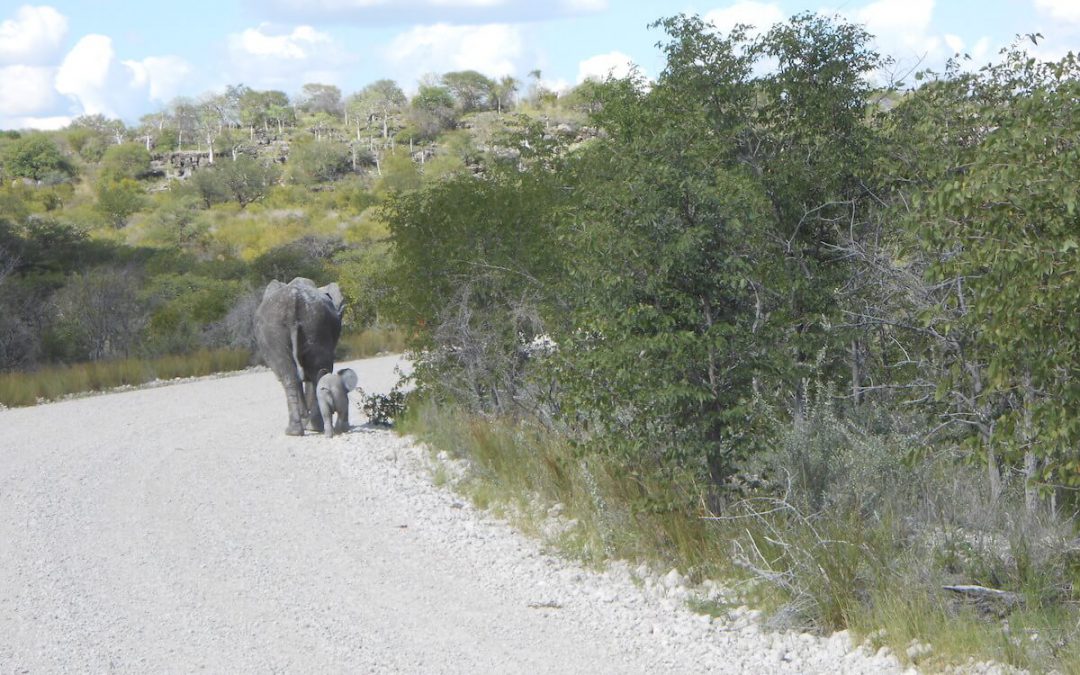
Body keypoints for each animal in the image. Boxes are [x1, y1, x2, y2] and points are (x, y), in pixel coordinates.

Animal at [253, 276, 345, 434]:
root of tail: (293, 303)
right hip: (310, 326)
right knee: (314, 373)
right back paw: (306, 429)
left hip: (301, 327)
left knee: (294, 375)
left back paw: (298, 430)